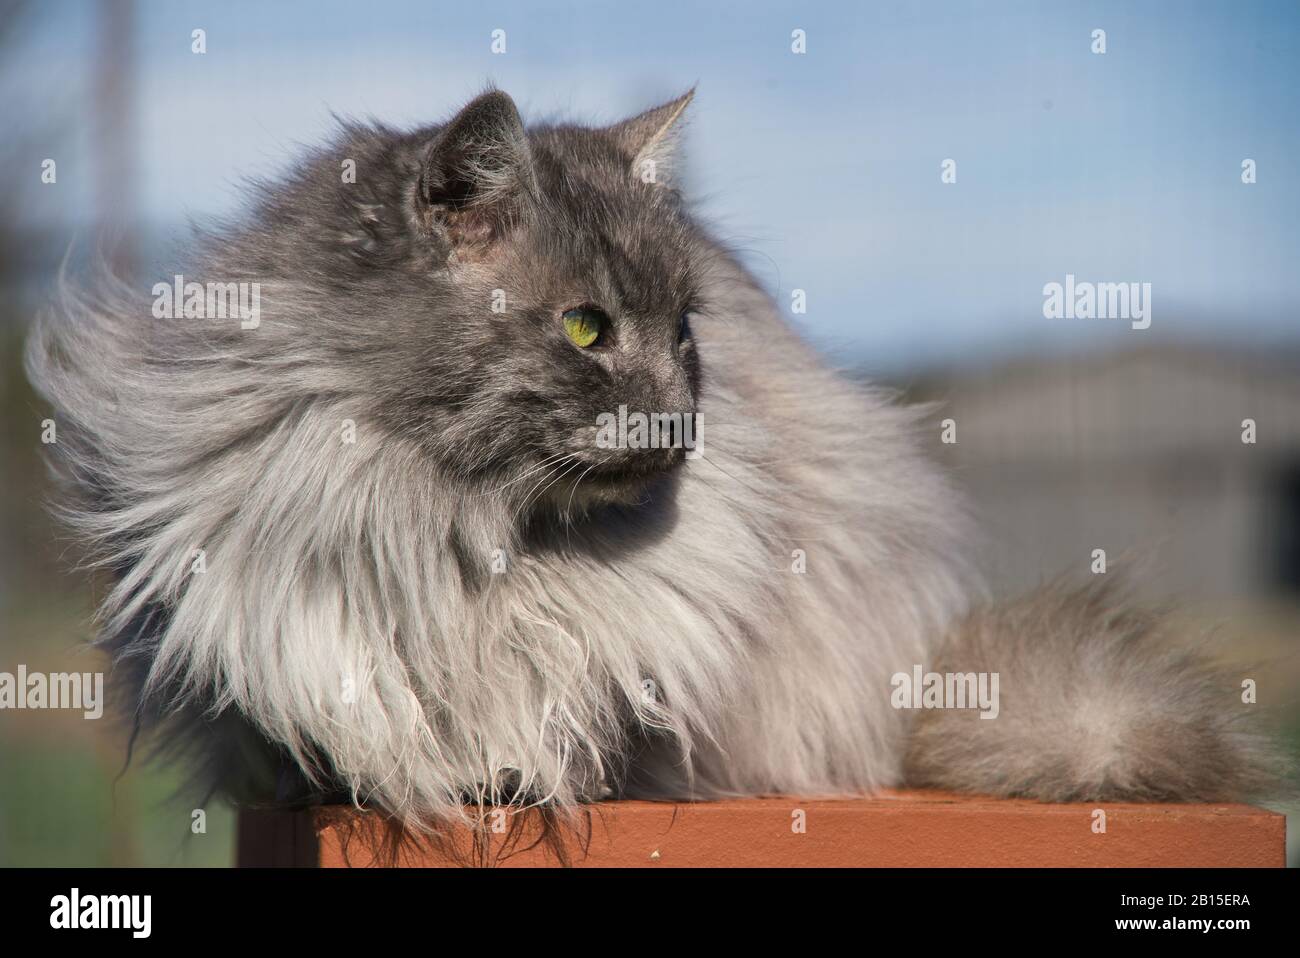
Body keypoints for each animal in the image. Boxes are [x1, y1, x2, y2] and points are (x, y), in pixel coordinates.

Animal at [25, 89, 1274, 831]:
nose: (683, 419)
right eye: (586, 329)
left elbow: (581, 722)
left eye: (685, 331)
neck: (448, 532)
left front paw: (526, 775)